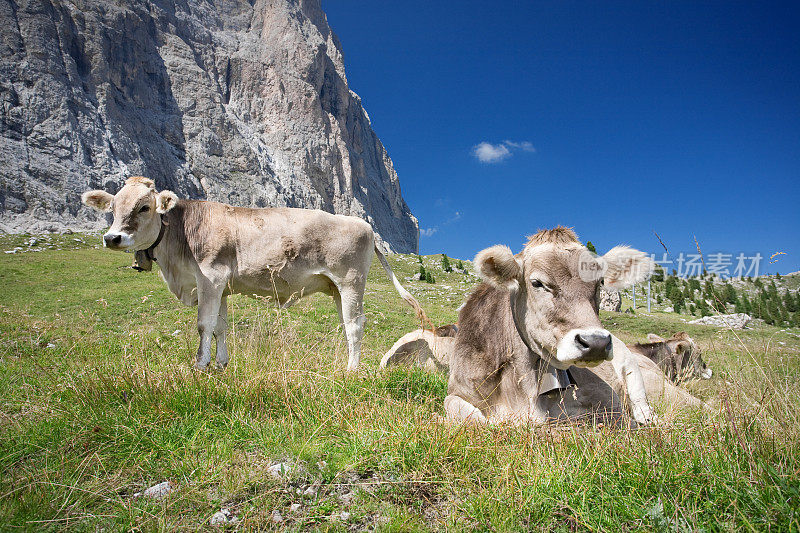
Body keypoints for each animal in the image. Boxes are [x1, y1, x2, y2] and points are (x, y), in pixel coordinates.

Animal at [83, 175, 428, 370]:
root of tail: (364, 224)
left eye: (144, 207)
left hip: (351, 280)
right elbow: (220, 327)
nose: (112, 238)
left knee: (355, 326)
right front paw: (220, 364)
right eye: (113, 208)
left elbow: (203, 325)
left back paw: (351, 370)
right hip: (336, 288)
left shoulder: (210, 277)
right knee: (347, 325)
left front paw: (199, 365)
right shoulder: (220, 286)